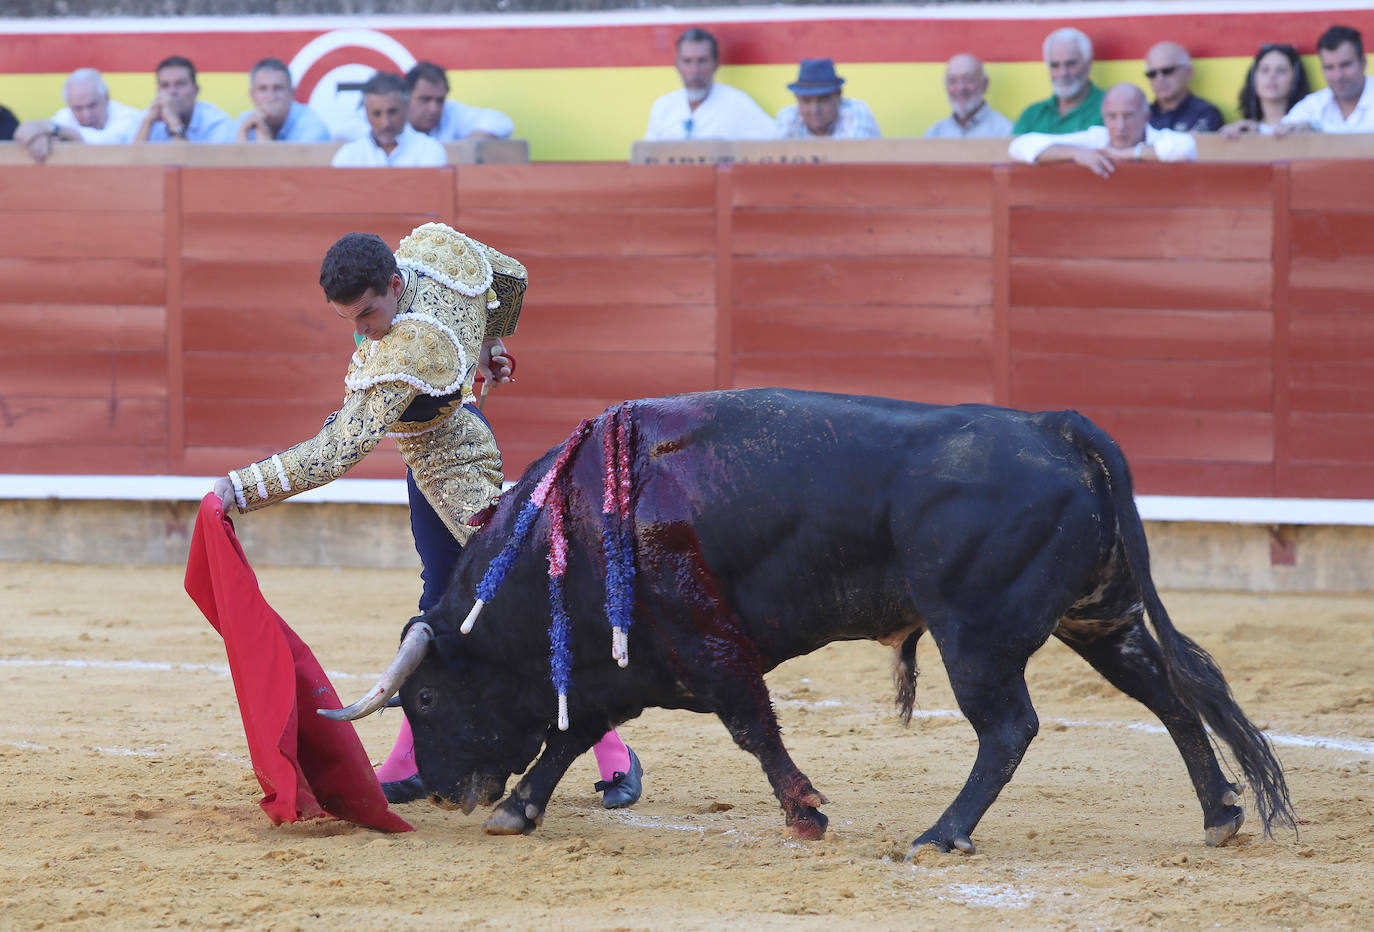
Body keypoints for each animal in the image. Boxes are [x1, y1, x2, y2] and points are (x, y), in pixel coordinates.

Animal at [327, 390, 1291, 857]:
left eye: (426, 702)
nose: (442, 790)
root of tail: (1055, 428)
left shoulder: (707, 648)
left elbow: (752, 726)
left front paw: (806, 814)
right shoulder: (627, 665)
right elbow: (569, 735)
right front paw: (518, 810)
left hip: (975, 634)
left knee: (1010, 727)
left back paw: (942, 834)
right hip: (1098, 617)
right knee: (1170, 694)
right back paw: (1219, 814)